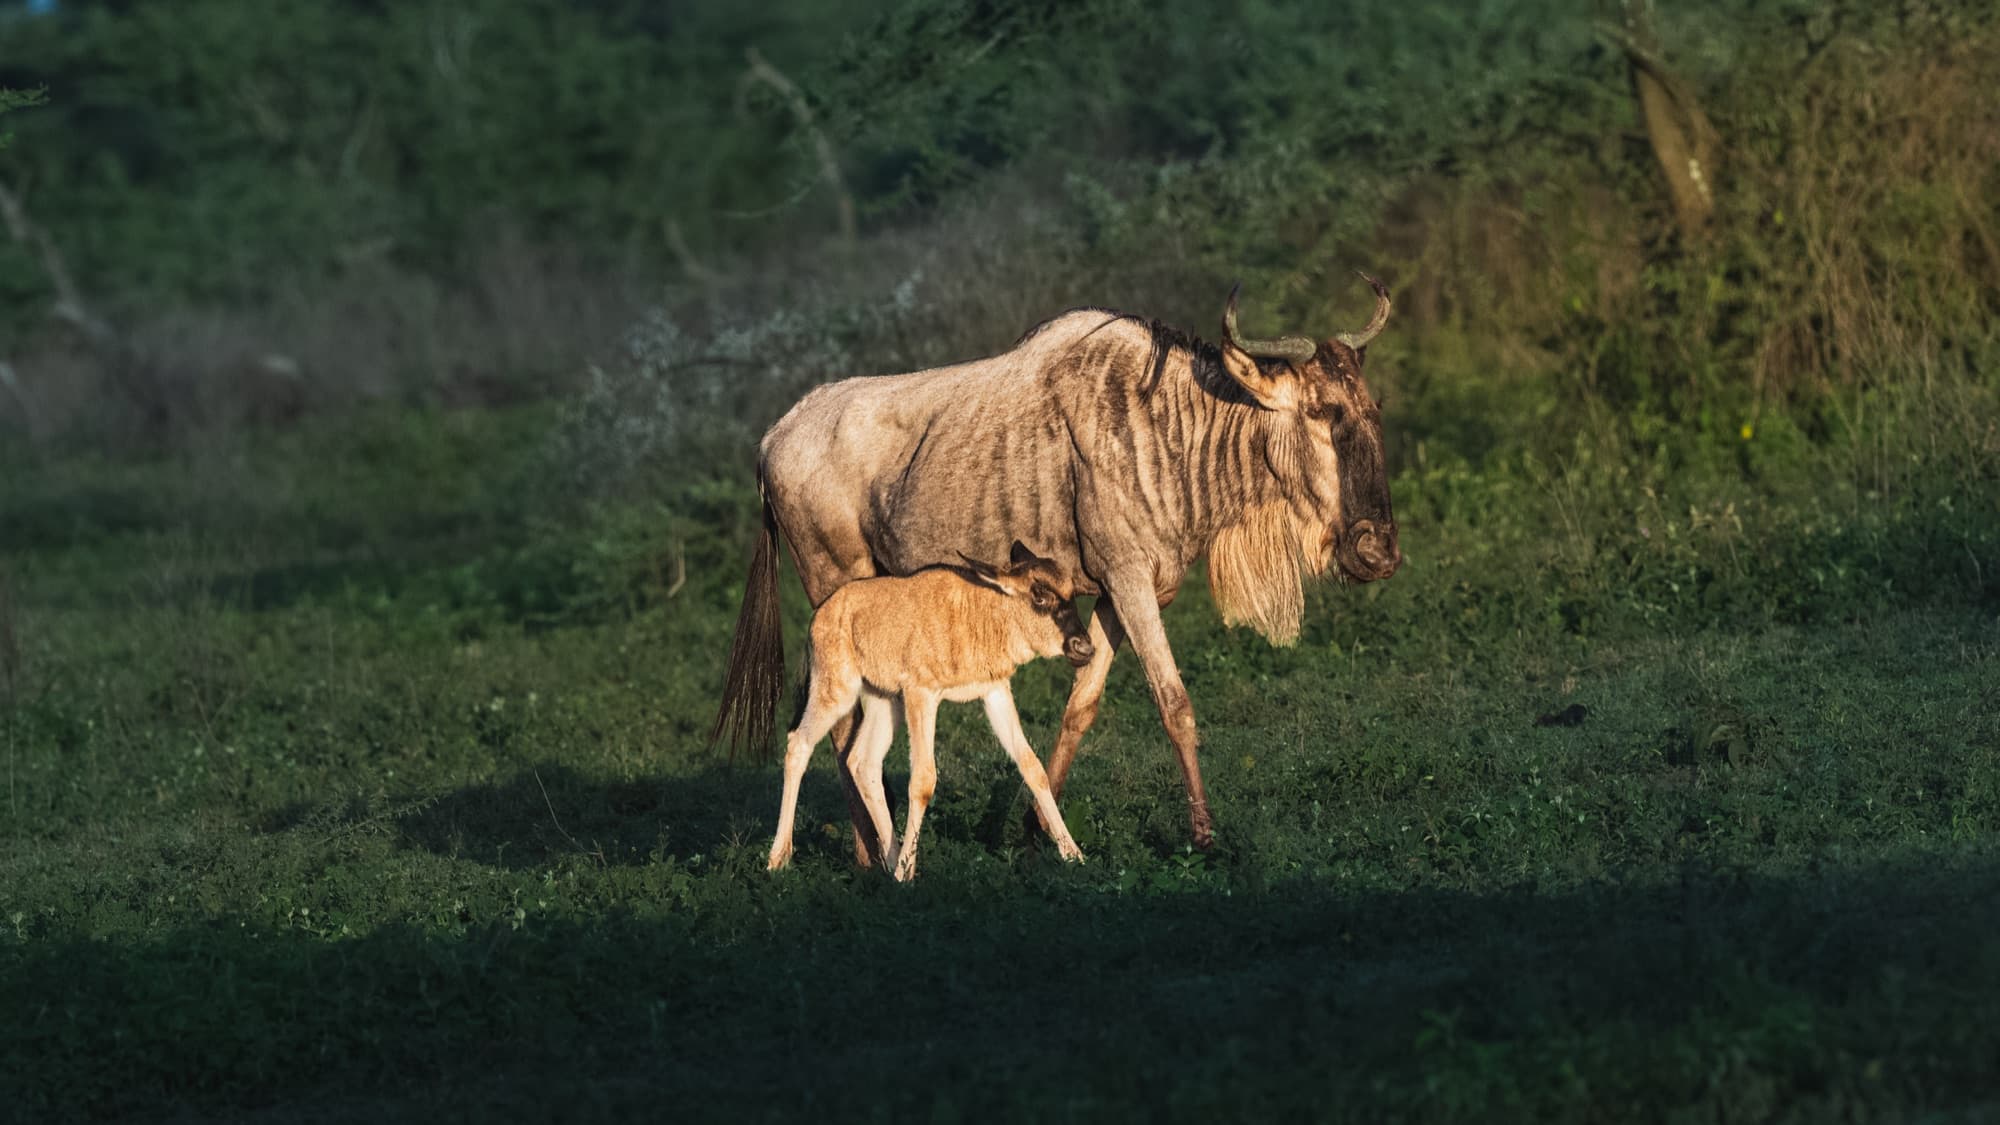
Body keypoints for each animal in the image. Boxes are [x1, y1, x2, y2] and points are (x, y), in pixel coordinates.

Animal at [766, 541, 1094, 881]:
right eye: (1039, 594)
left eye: (1072, 592)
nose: (1084, 647)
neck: (982, 613)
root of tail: (820, 615)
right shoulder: (922, 694)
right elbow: (923, 780)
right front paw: (905, 876)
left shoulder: (995, 691)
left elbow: (1032, 766)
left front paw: (1074, 854)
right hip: (836, 691)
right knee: (798, 744)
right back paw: (778, 858)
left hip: (885, 700)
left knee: (862, 761)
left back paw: (892, 858)